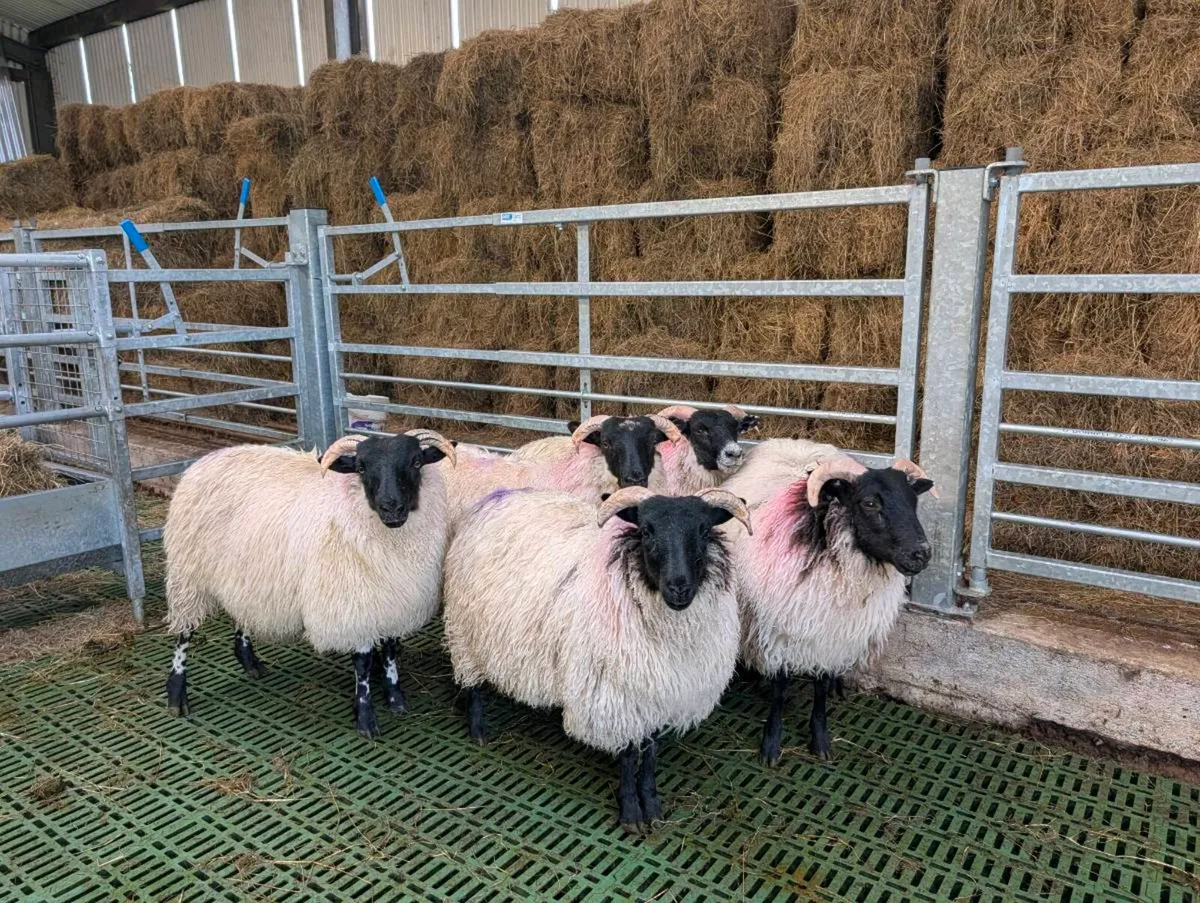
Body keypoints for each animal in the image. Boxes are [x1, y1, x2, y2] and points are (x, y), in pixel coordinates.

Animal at [162, 429, 456, 739]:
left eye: (416, 462)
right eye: (361, 468)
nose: (391, 507)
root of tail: (204, 460)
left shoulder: (392, 602)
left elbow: (389, 653)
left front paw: (396, 699)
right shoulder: (353, 603)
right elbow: (363, 664)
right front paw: (365, 717)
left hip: (243, 573)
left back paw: (249, 661)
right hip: (188, 574)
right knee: (184, 634)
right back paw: (177, 694)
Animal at [442, 484, 753, 833]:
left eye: (703, 530)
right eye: (647, 530)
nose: (679, 588)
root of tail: (498, 495)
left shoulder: (658, 694)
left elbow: (651, 751)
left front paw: (651, 803)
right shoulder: (617, 695)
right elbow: (630, 754)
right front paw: (630, 810)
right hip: (465, 630)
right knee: (471, 681)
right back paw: (477, 727)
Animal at [721, 442, 934, 765]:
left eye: (913, 501)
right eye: (869, 503)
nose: (921, 553)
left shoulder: (832, 633)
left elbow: (819, 688)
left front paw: (820, 739)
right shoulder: (781, 627)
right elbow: (780, 688)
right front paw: (771, 744)